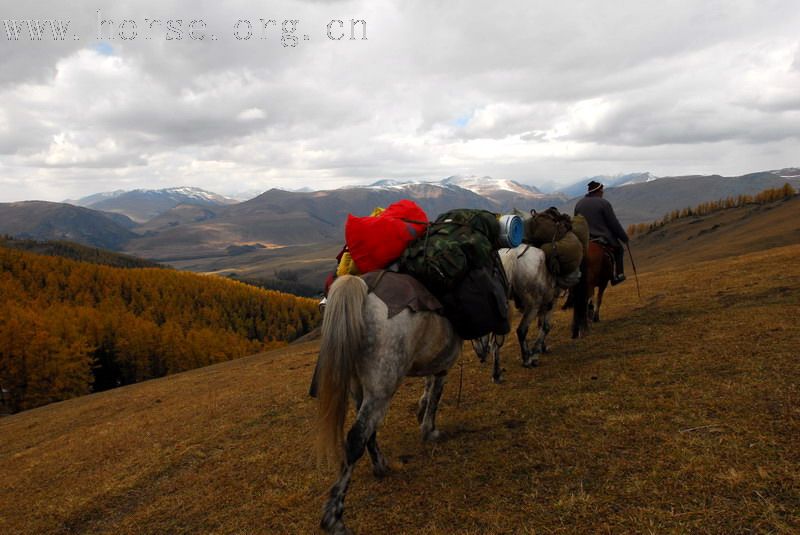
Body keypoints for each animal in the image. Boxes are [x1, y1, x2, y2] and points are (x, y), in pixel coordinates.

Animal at [314, 274, 460, 532]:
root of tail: (366, 287)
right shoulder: (443, 364)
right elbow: (435, 394)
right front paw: (429, 429)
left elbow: (428, 386)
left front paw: (421, 412)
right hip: (382, 383)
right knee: (356, 437)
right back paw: (334, 517)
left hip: (361, 387)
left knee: (368, 430)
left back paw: (380, 466)